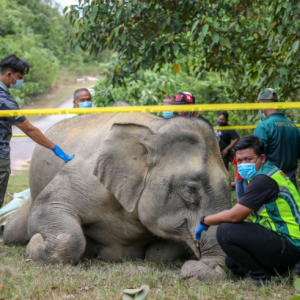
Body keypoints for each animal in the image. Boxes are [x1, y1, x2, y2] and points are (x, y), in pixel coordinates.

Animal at [3, 111, 231, 280]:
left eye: (230, 184)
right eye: (191, 189)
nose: (206, 269)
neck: (154, 129)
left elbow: (159, 254)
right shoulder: (86, 175)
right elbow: (48, 208)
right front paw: (34, 244)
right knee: (12, 232)